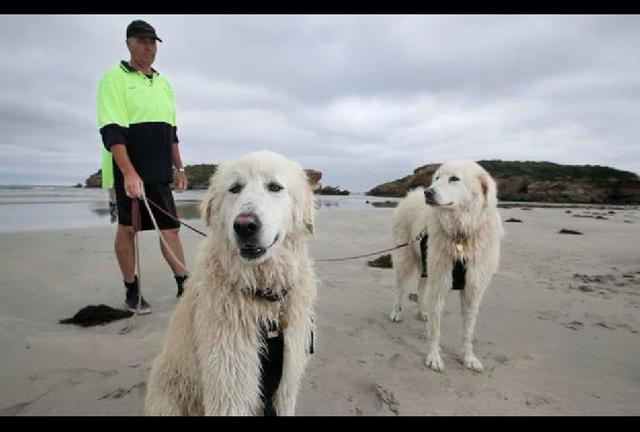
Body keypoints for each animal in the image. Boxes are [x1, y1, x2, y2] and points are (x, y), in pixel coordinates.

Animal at [144, 149, 316, 416]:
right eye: (235, 188)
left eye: (275, 187)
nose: (245, 225)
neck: (261, 293)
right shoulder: (230, 384)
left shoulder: (285, 384)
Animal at [388, 160, 502, 372]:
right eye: (437, 178)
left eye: (454, 179)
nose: (428, 192)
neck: (461, 234)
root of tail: (412, 194)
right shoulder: (440, 282)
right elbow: (436, 328)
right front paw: (434, 357)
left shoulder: (473, 287)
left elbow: (468, 330)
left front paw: (469, 358)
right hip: (404, 257)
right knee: (399, 288)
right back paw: (396, 313)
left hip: (427, 265)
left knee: (421, 287)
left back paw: (422, 312)